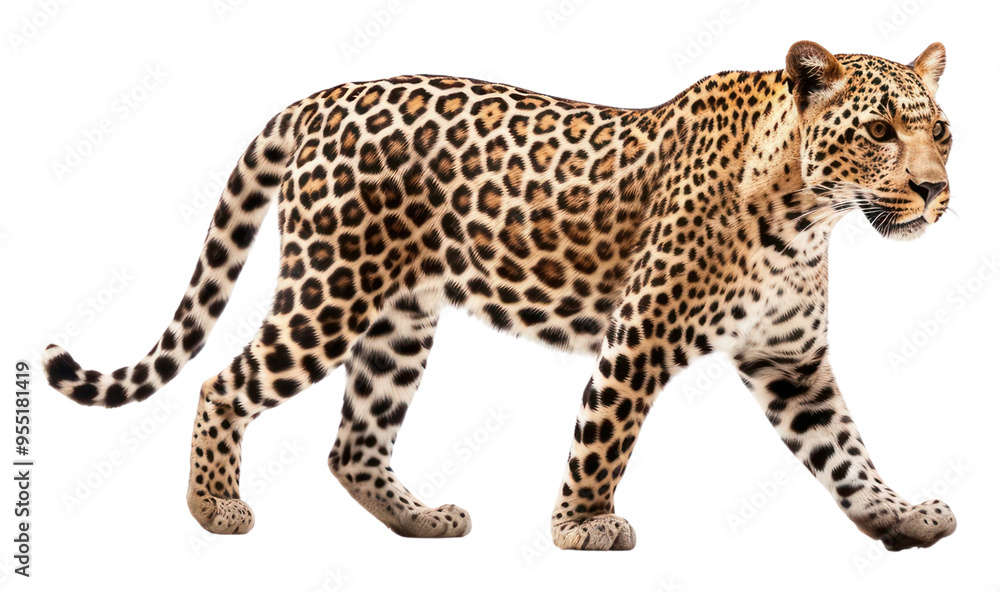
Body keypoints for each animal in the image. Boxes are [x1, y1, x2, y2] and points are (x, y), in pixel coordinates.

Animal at [42, 40, 956, 552]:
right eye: (880, 132)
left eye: (941, 131)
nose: (935, 190)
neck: (808, 217)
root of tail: (321, 100)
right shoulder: (639, 337)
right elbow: (604, 434)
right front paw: (583, 526)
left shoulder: (790, 361)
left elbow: (844, 451)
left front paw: (900, 516)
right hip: (329, 292)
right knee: (222, 383)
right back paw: (215, 507)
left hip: (399, 320)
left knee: (354, 443)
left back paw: (421, 521)